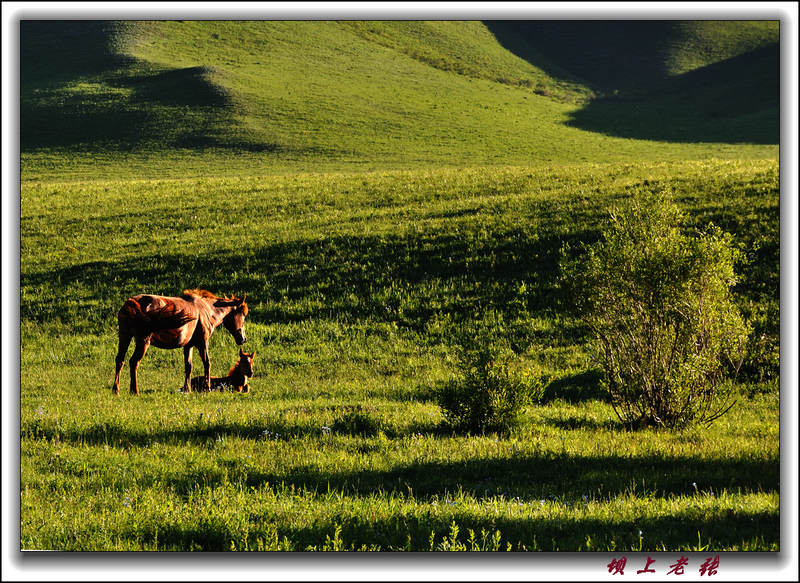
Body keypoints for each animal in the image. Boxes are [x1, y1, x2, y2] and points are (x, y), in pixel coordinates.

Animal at [112, 288, 248, 394]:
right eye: (243, 314)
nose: (243, 339)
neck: (205, 309)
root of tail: (131, 303)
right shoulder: (203, 342)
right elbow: (207, 363)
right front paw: (207, 387)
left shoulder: (188, 346)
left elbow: (188, 366)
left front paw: (187, 389)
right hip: (143, 342)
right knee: (133, 362)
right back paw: (134, 390)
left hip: (124, 337)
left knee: (120, 360)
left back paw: (116, 389)